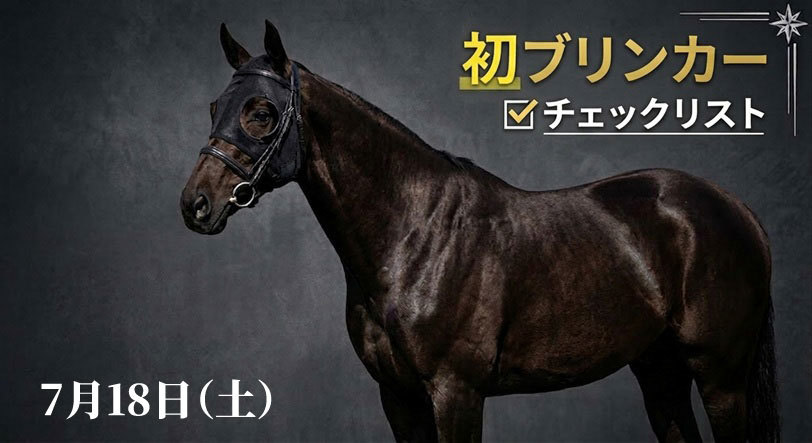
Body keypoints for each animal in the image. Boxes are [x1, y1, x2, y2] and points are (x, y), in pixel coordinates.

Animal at [180, 21, 778, 442]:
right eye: (214, 107)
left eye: (261, 112)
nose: (196, 205)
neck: (414, 237)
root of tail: (736, 207)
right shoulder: (398, 398)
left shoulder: (457, 392)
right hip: (660, 372)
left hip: (721, 377)